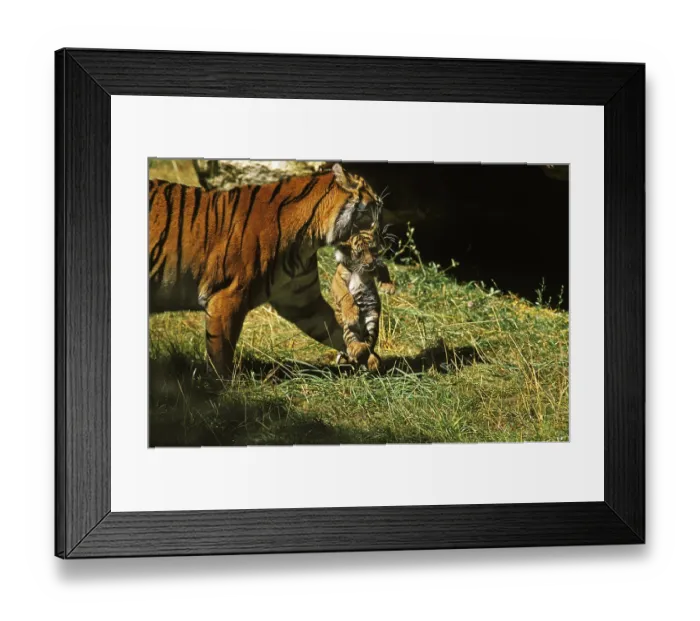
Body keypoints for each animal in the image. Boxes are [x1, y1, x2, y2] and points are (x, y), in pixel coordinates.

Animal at [149, 163, 382, 376]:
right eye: (374, 203)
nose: (381, 233)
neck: (310, 238)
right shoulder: (228, 296)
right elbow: (221, 350)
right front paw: (223, 386)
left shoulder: (302, 300)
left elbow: (332, 326)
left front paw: (366, 354)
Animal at [331, 226, 395, 372]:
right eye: (360, 253)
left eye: (373, 249)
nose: (370, 262)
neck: (359, 269)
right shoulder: (338, 279)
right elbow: (345, 295)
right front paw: (351, 314)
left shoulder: (375, 266)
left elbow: (383, 266)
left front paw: (388, 286)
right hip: (349, 329)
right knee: (352, 340)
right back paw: (355, 348)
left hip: (372, 319)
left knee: (369, 344)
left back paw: (370, 358)